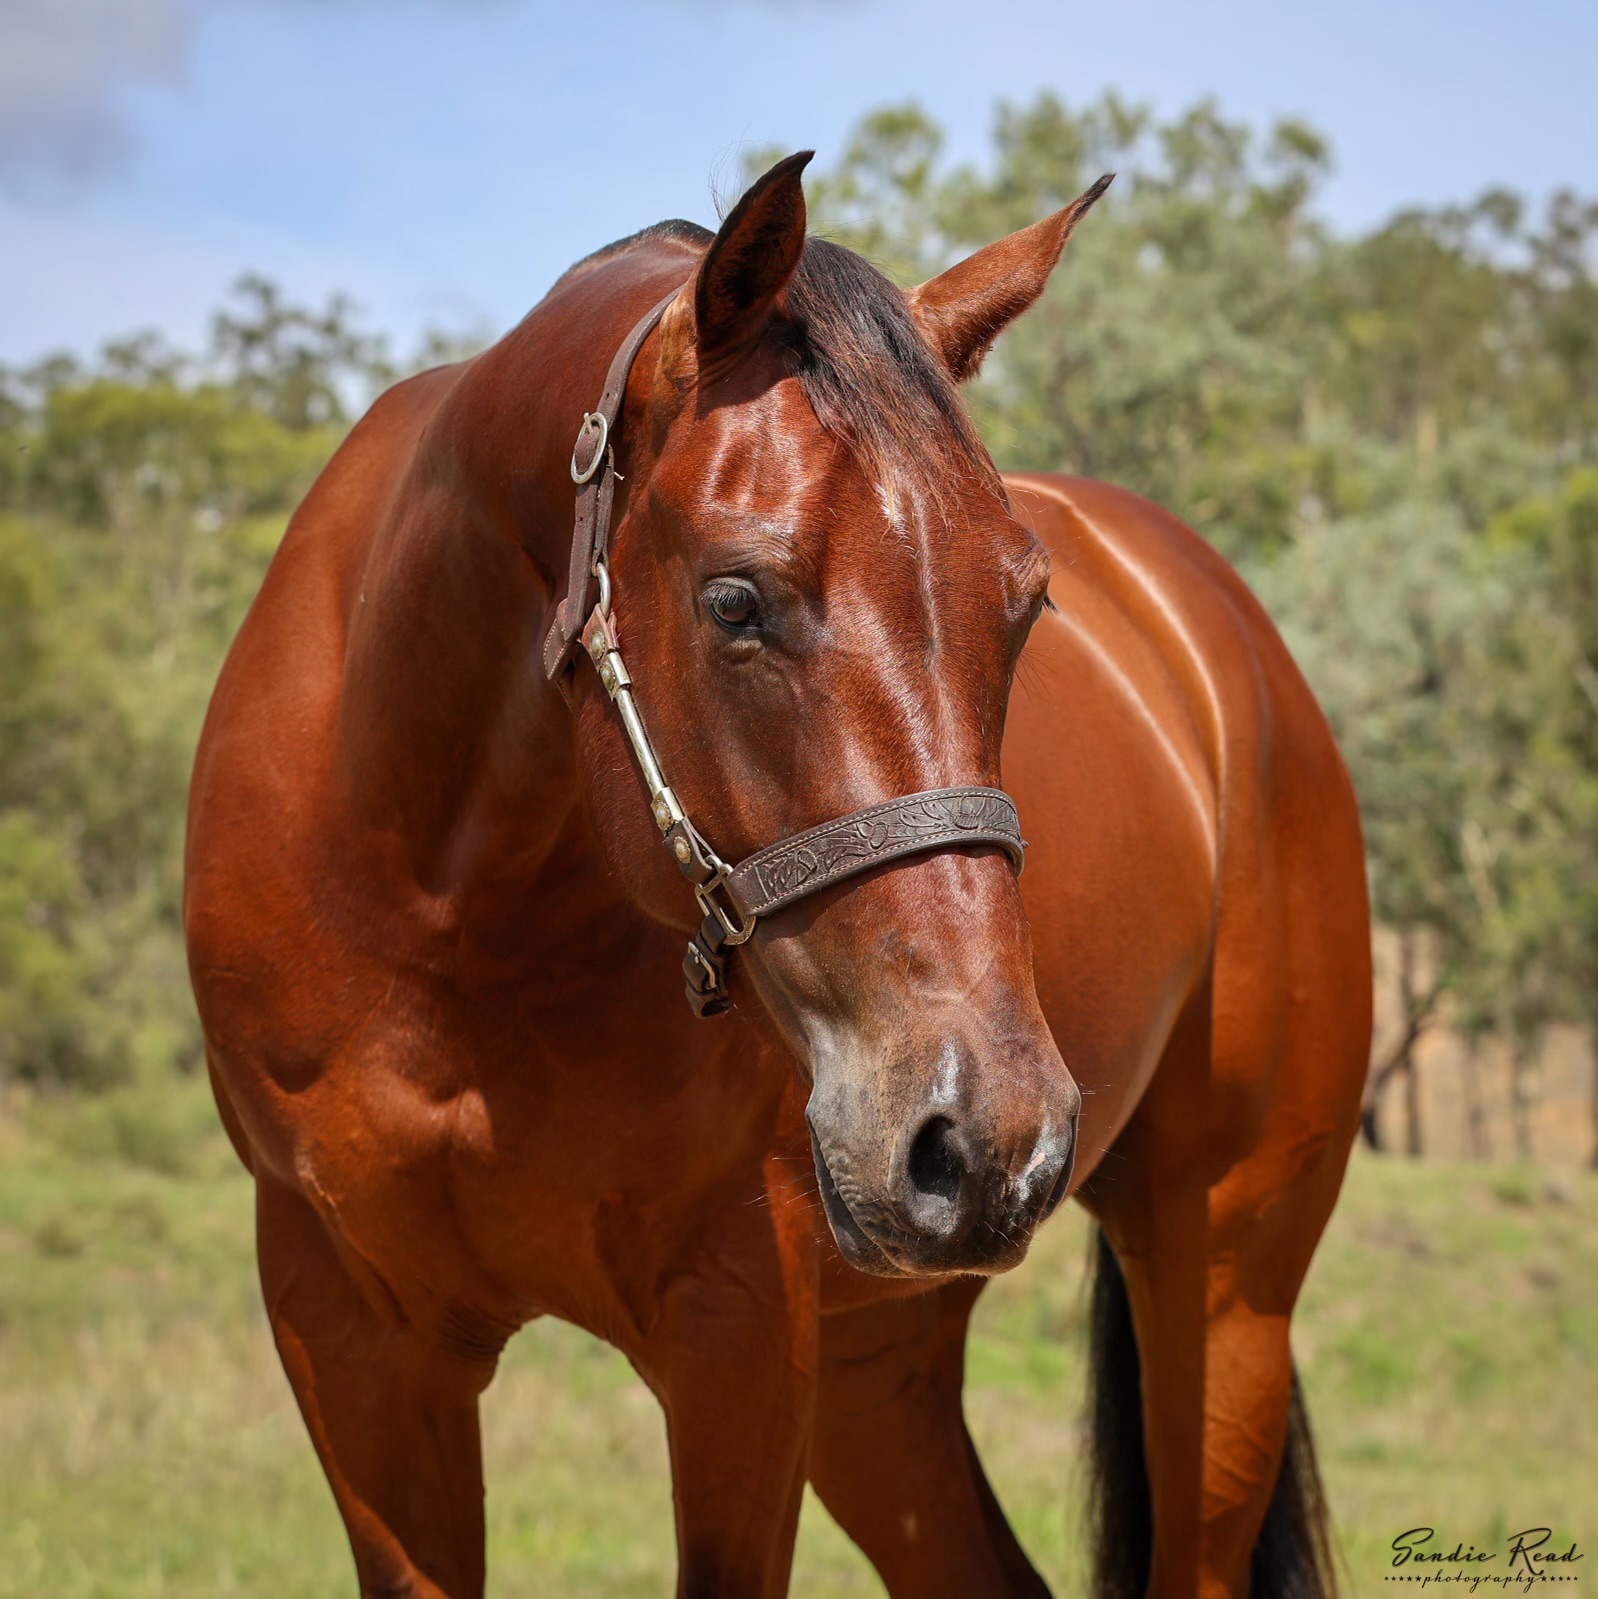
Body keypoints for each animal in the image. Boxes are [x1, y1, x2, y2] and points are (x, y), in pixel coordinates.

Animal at [184, 151, 1370, 1599]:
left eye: (1024, 605)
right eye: (734, 599)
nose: (990, 1136)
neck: (446, 913)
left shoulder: (737, 1324)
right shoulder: (350, 1329)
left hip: (1222, 1271)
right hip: (881, 1352)